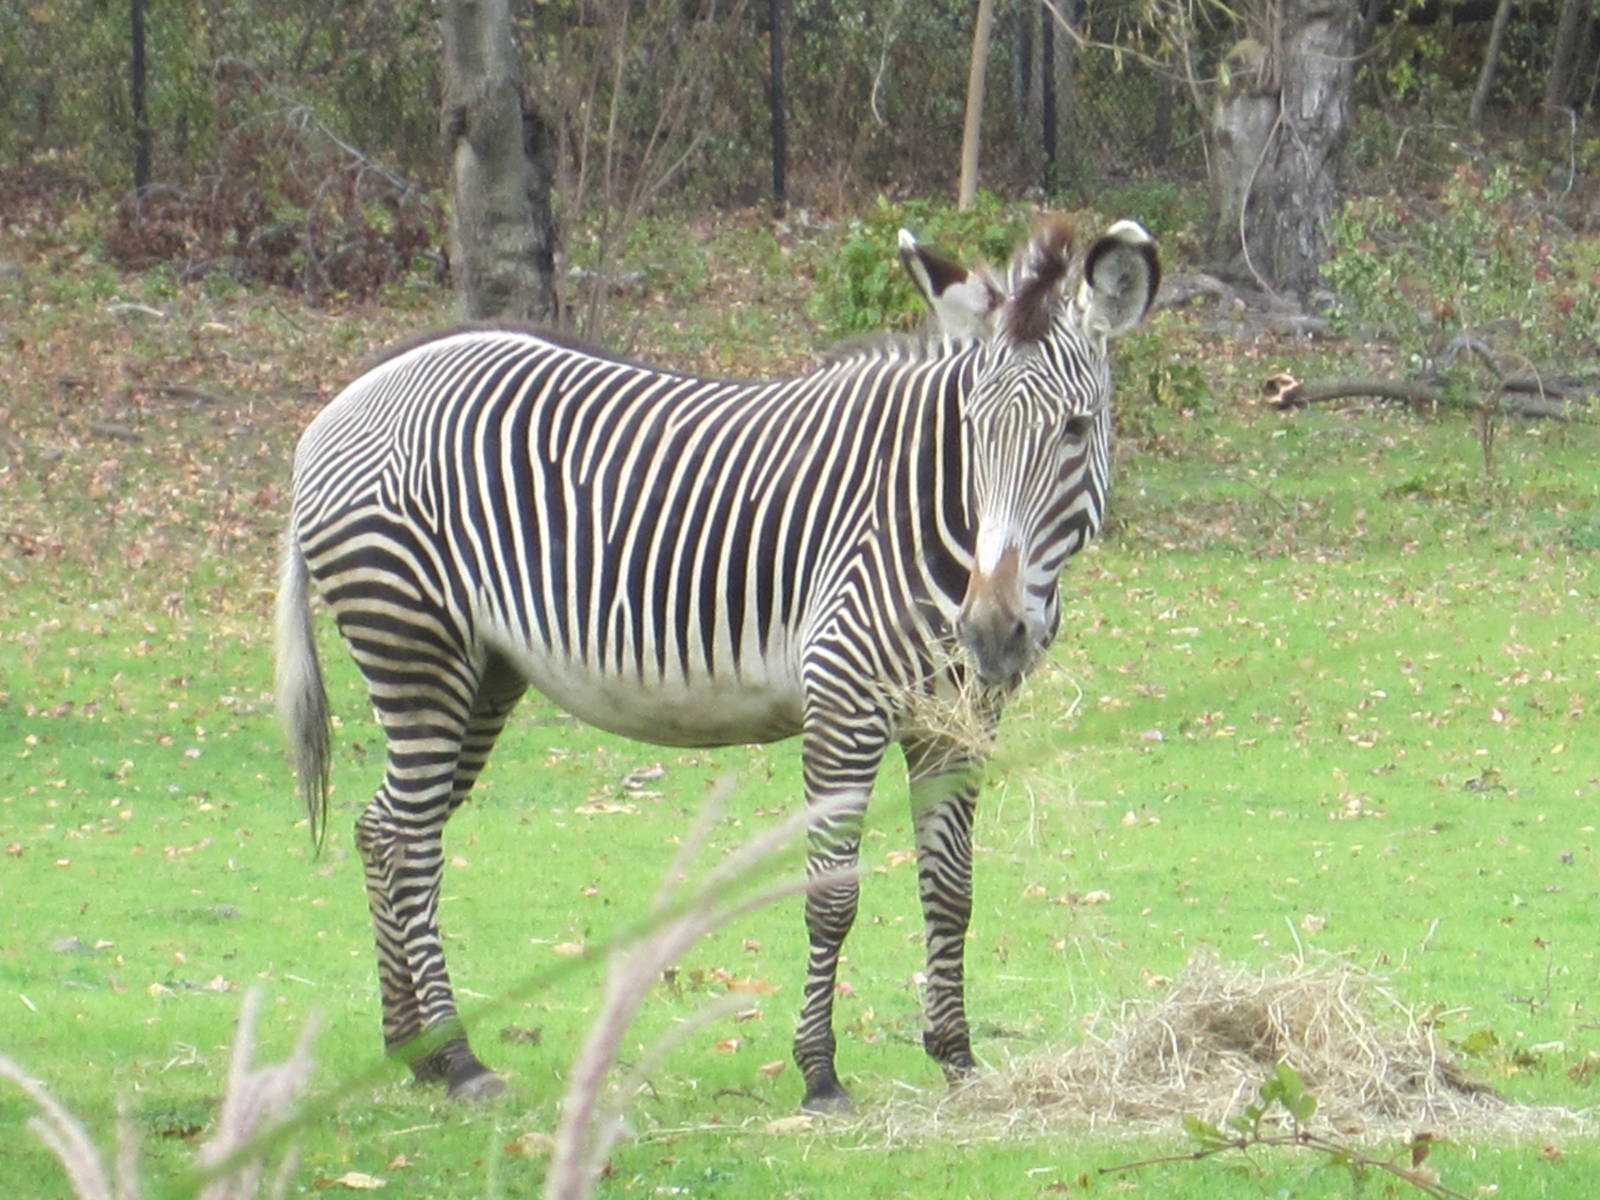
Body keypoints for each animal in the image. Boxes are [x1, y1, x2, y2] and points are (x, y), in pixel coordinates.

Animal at [275, 217, 1159, 1110]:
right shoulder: (844, 699)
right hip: (413, 642)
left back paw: (414, 1050)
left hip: (483, 673)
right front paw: (819, 1073)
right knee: (410, 843)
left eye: (1075, 429)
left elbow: (951, 889)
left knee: (383, 828)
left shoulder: (957, 722)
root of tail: (348, 398)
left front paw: (956, 1058)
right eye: (974, 430)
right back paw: (459, 1059)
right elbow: (832, 895)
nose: (989, 630)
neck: (924, 505)